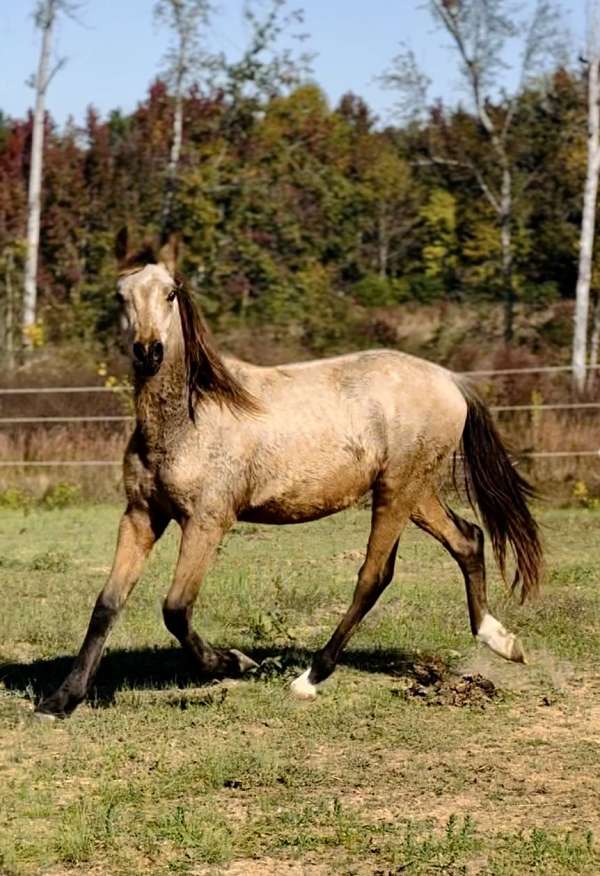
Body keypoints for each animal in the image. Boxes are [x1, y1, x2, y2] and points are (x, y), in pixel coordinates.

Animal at [37, 233, 544, 720]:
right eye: (120, 295)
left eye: (171, 293)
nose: (148, 352)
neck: (189, 419)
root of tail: (450, 379)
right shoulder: (142, 515)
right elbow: (107, 604)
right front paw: (60, 701)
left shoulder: (207, 521)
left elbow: (176, 609)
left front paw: (234, 663)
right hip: (412, 491)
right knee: (466, 539)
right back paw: (501, 640)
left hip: (398, 491)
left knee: (373, 575)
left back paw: (309, 678)